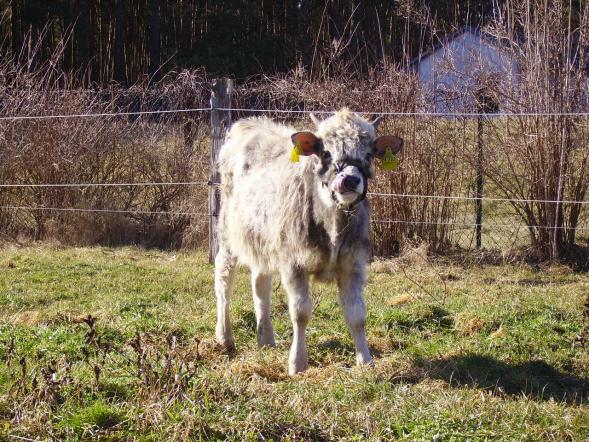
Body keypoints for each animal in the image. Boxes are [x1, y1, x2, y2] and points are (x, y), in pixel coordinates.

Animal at [214, 107, 402, 372]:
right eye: (325, 152)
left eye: (368, 154)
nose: (350, 180)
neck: (332, 223)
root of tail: (249, 123)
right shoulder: (294, 264)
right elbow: (301, 313)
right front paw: (298, 362)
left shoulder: (353, 265)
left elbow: (357, 315)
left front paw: (365, 361)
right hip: (228, 233)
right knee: (223, 280)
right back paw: (225, 337)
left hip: (264, 239)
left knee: (260, 284)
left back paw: (266, 339)